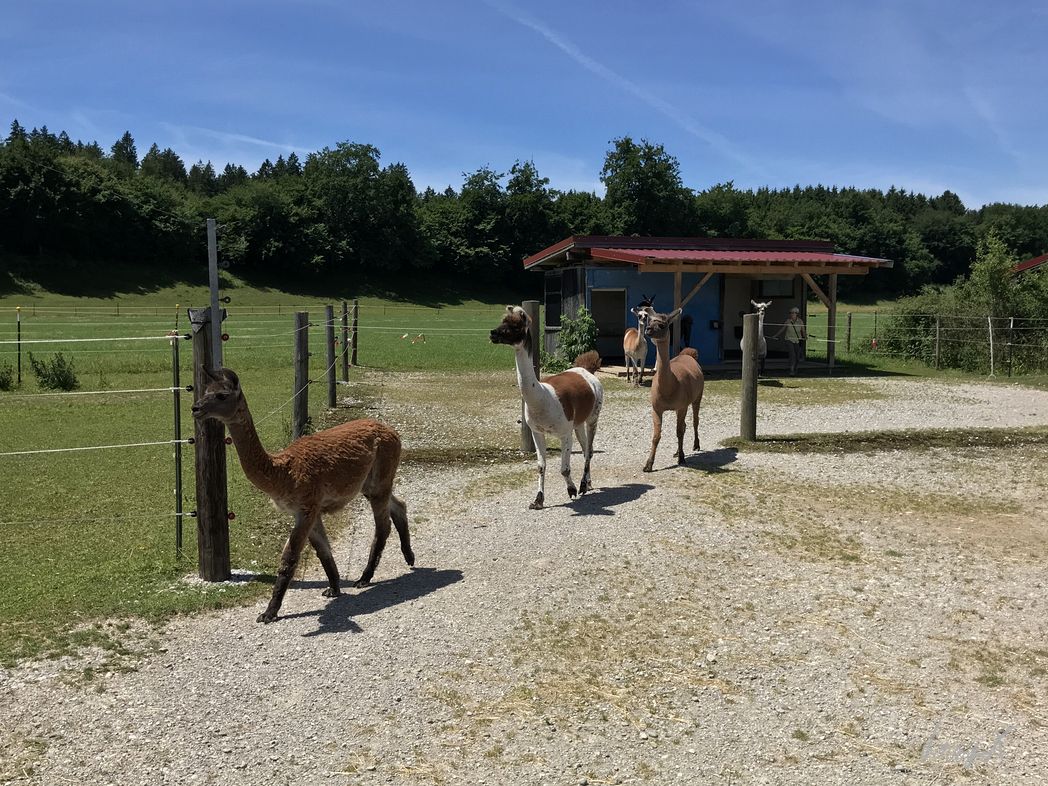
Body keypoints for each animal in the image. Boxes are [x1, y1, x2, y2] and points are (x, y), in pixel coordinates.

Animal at [191, 366, 414, 624]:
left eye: (221, 395)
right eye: (205, 391)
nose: (195, 408)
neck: (282, 472)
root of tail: (392, 431)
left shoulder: (306, 507)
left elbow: (289, 558)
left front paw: (269, 612)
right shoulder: (311, 510)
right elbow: (323, 550)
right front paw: (333, 588)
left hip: (381, 476)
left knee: (383, 525)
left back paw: (364, 577)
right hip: (371, 484)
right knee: (399, 505)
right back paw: (409, 557)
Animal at [489, 306, 603, 510]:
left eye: (515, 326)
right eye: (502, 322)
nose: (493, 333)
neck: (542, 398)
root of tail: (585, 370)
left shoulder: (564, 433)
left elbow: (564, 469)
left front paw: (572, 490)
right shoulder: (537, 431)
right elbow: (541, 466)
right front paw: (538, 500)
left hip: (593, 416)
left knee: (589, 450)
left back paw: (583, 484)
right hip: (577, 423)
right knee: (585, 450)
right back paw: (588, 483)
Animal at [640, 306, 705, 472]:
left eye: (662, 324)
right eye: (649, 320)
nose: (648, 329)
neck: (669, 389)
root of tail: (689, 354)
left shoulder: (681, 405)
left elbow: (679, 432)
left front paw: (682, 458)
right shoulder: (656, 407)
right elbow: (656, 436)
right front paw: (648, 464)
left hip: (697, 396)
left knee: (694, 421)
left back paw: (696, 445)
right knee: (684, 425)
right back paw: (676, 452)